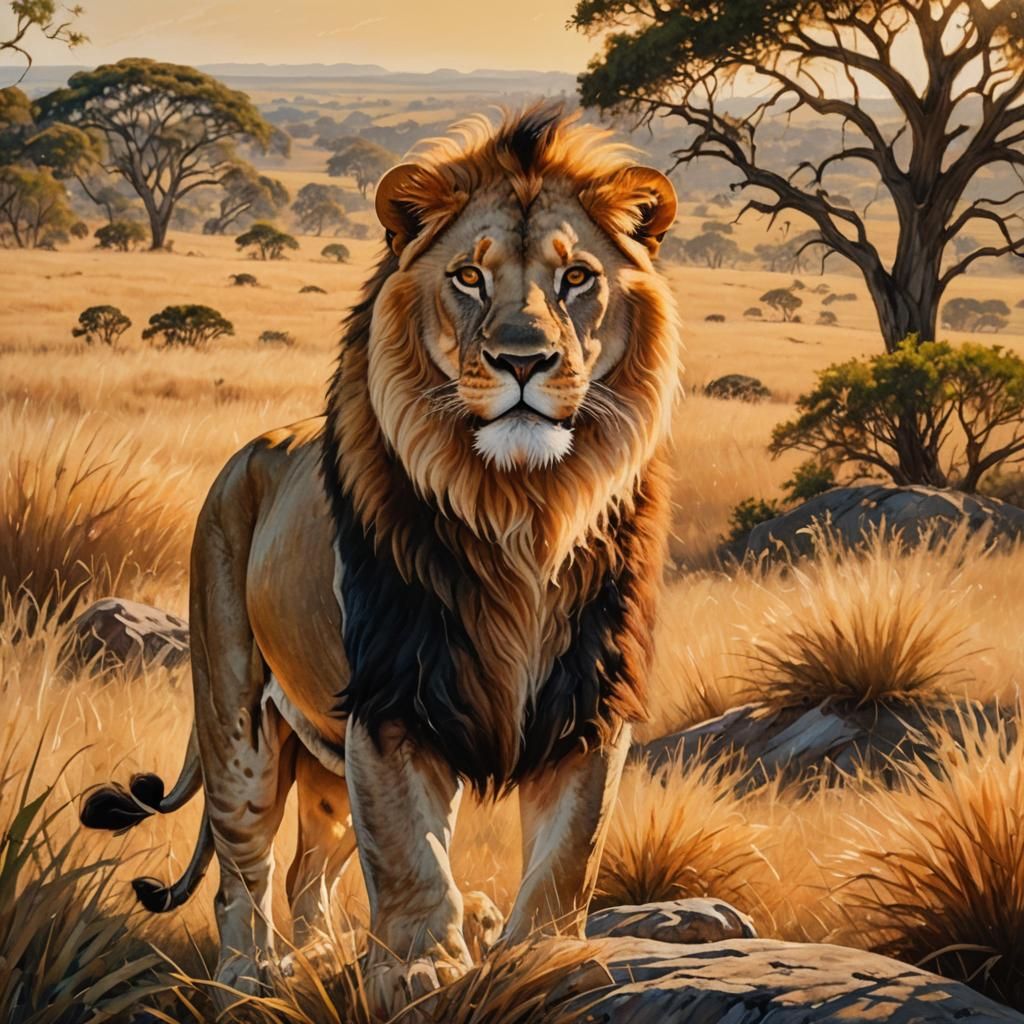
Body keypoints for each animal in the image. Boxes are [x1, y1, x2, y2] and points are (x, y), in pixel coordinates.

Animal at [80, 105, 681, 1013]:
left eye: (577, 278)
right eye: (469, 278)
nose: (523, 360)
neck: (522, 509)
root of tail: (244, 455)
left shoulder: (588, 701)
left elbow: (570, 851)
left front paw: (545, 960)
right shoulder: (394, 699)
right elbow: (407, 852)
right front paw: (424, 967)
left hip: (325, 766)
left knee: (310, 870)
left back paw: (318, 958)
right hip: (237, 721)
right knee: (244, 871)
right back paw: (249, 978)